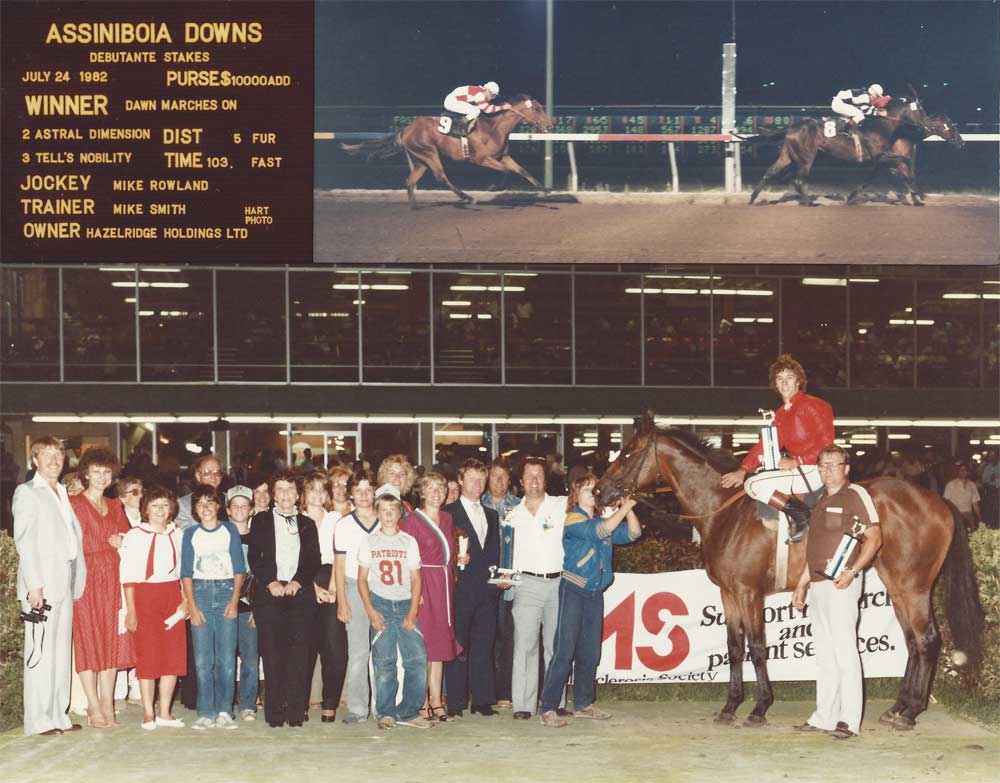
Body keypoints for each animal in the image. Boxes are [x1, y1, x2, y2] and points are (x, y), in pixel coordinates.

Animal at [340, 94, 552, 210]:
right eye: (536, 109)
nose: (550, 125)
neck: (493, 128)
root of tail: (406, 129)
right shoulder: (481, 159)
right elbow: (506, 171)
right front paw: (494, 187)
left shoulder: (503, 156)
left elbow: (522, 171)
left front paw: (546, 190)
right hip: (429, 153)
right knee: (441, 177)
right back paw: (468, 198)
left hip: (420, 160)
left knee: (410, 181)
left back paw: (415, 206)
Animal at [592, 416, 984, 728]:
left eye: (627, 454)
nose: (598, 492)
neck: (724, 511)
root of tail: (935, 499)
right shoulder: (728, 593)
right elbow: (735, 648)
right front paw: (730, 706)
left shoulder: (749, 592)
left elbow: (757, 647)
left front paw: (759, 707)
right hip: (898, 587)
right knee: (914, 642)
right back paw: (899, 706)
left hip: (913, 586)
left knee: (928, 640)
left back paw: (911, 711)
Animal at [748, 92, 956, 207]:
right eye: (921, 111)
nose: (928, 124)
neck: (883, 126)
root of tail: (791, 127)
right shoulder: (880, 156)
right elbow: (904, 164)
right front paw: (917, 196)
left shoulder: (880, 160)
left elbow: (875, 178)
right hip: (806, 158)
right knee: (798, 180)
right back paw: (808, 203)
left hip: (788, 155)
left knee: (770, 172)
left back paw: (753, 199)